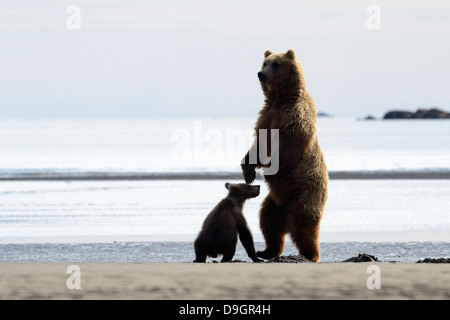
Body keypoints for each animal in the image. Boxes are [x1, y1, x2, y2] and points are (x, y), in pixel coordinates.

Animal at [243, 48, 326, 262]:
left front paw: (268, 171)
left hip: (304, 194)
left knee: (304, 226)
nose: (261, 73)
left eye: (276, 64)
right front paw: (249, 172)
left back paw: (311, 254)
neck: (279, 100)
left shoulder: (295, 115)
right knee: (268, 223)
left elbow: (292, 143)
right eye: (265, 63)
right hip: (274, 203)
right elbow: (259, 144)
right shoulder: (266, 116)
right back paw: (265, 251)